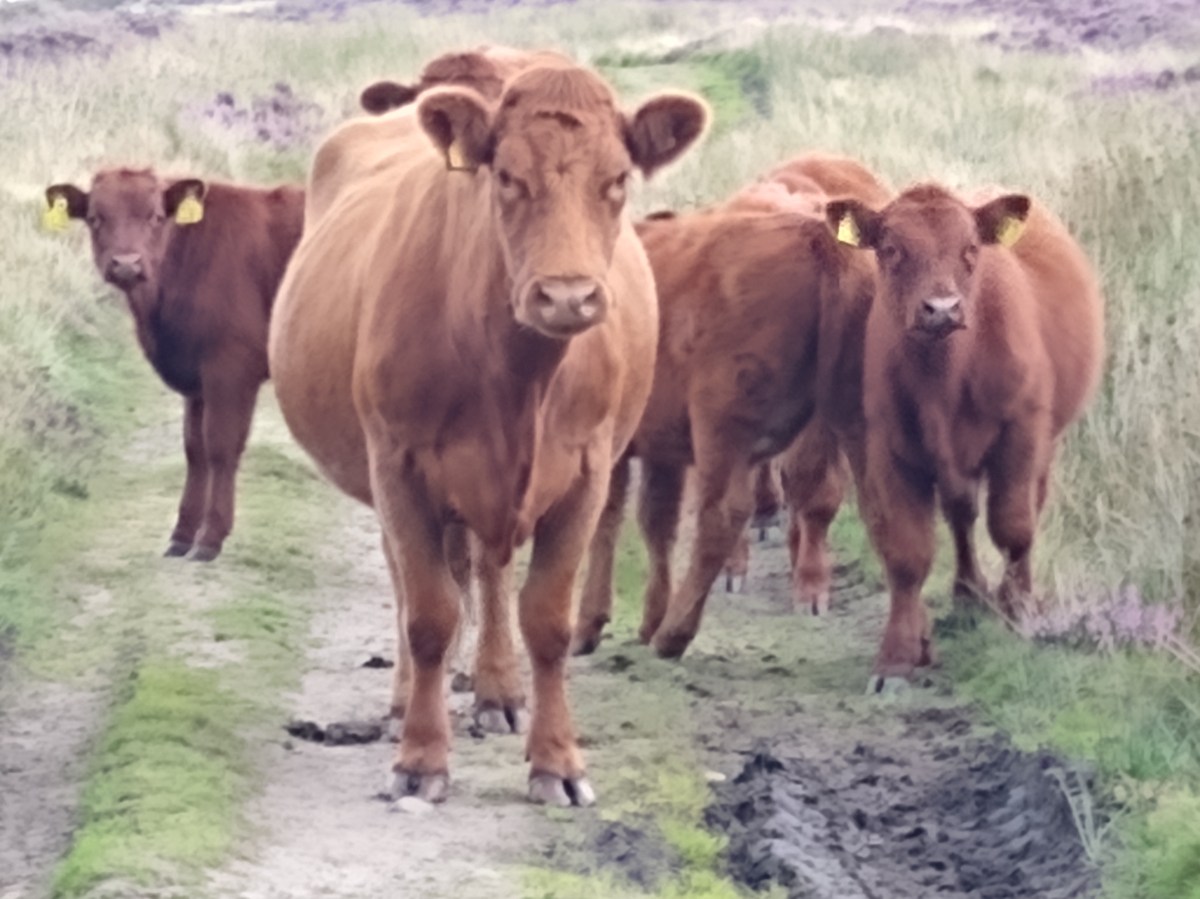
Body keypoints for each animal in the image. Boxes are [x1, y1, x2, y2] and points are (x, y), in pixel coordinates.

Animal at [43, 169, 304, 561]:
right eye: (94, 217)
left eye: (154, 216)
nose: (126, 263)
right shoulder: (195, 378)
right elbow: (194, 449)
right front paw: (182, 534)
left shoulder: (230, 368)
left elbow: (221, 447)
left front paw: (210, 538)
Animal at [268, 58, 708, 805]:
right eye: (506, 177)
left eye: (617, 179)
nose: (567, 296)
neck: (516, 376)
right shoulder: (400, 467)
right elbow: (428, 615)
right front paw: (421, 758)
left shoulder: (586, 473)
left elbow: (547, 619)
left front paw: (557, 761)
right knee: (418, 584)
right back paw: (407, 702)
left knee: (488, 571)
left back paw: (498, 693)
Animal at [571, 154, 888, 657]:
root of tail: (818, 238)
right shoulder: (660, 447)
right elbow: (655, 521)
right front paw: (647, 618)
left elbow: (607, 519)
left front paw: (591, 623)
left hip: (722, 425)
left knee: (723, 515)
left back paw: (675, 634)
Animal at [827, 183, 1104, 688]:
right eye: (891, 249)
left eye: (970, 249)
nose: (941, 309)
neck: (945, 378)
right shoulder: (890, 450)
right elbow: (907, 551)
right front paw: (897, 655)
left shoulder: (1021, 433)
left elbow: (1013, 527)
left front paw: (1015, 609)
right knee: (960, 516)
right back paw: (968, 594)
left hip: (1044, 444)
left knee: (1025, 512)